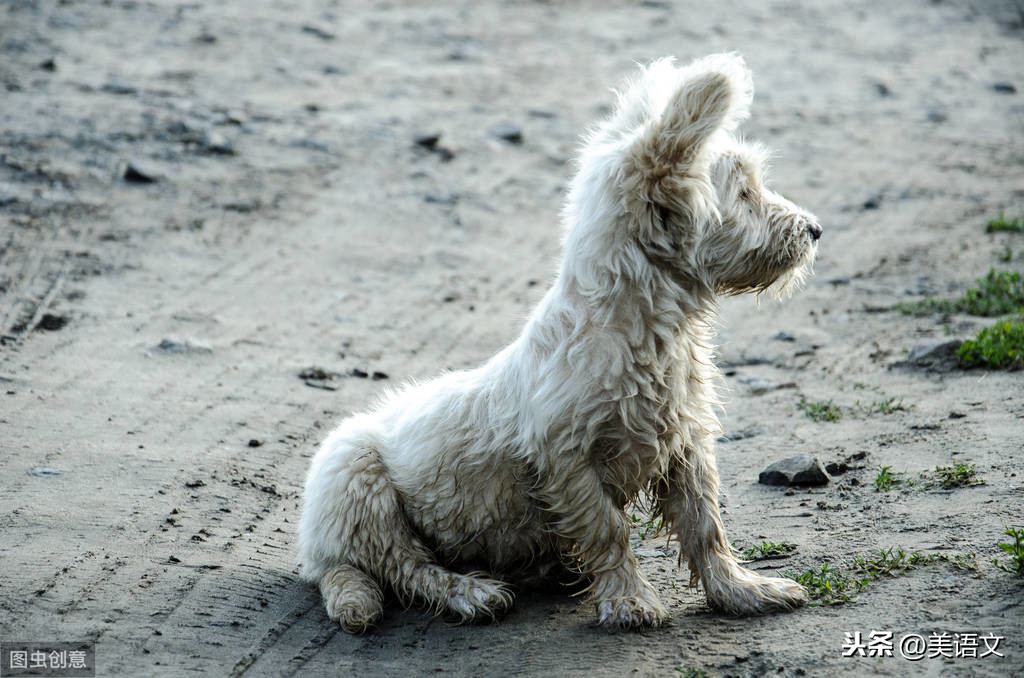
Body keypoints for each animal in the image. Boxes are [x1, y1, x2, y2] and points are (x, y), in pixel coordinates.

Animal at [294, 53, 815, 630]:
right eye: (743, 194)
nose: (815, 229)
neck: (644, 329)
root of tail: (318, 556)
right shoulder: (566, 457)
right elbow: (610, 529)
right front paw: (629, 601)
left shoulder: (686, 442)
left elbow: (706, 525)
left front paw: (742, 591)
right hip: (356, 479)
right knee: (404, 565)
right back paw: (470, 592)